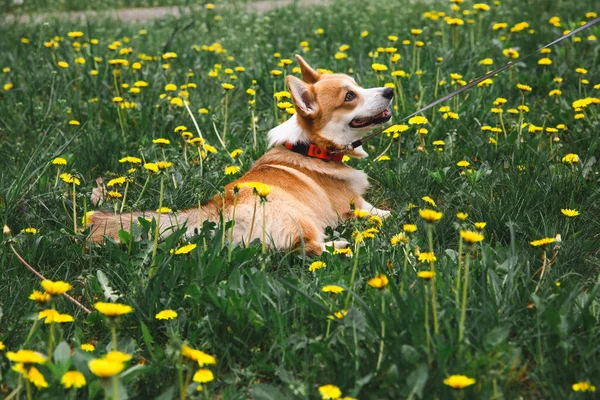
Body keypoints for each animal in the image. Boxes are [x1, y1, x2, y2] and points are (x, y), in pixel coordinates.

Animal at [86, 54, 392, 255]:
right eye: (349, 96)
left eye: (358, 85)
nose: (389, 90)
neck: (312, 147)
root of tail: (215, 212)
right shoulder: (354, 205)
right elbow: (379, 211)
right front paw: (388, 215)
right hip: (300, 218)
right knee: (306, 248)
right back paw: (340, 245)